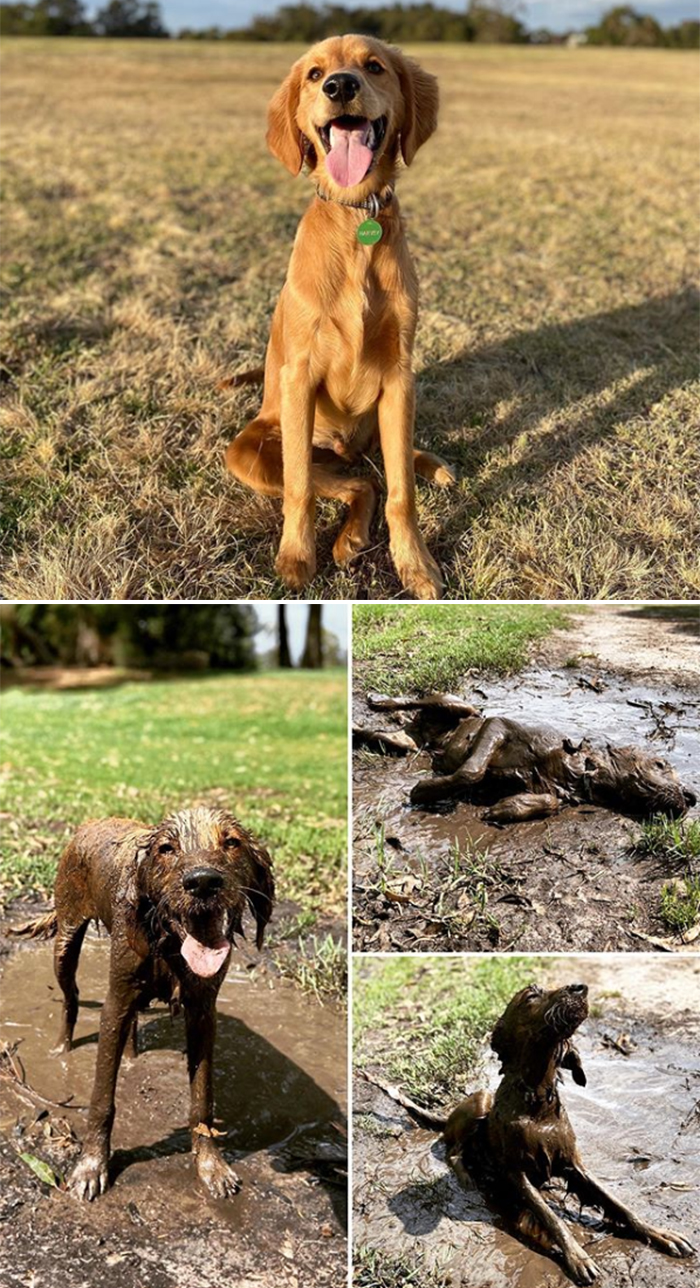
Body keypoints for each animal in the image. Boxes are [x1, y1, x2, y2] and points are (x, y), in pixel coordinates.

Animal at [11, 808, 273, 1200]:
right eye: (166, 848)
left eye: (231, 842)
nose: (203, 882)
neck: (167, 941)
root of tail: (91, 822)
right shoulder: (114, 1003)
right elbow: (101, 1099)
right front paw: (91, 1167)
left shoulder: (202, 1012)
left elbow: (202, 1101)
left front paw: (210, 1166)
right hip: (66, 940)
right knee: (71, 997)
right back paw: (61, 1047)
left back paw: (132, 1055)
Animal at [223, 35, 453, 597]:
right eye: (313, 74)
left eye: (374, 66)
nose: (340, 86)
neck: (356, 220)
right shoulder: (300, 376)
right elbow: (300, 489)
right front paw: (296, 556)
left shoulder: (399, 377)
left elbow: (402, 491)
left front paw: (415, 564)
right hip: (254, 450)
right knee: (354, 482)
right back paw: (347, 539)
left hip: (382, 420)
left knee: (379, 471)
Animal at [360, 690, 696, 819]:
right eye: (661, 764)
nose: (691, 797)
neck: (580, 770)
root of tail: (420, 731)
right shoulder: (498, 725)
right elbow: (472, 771)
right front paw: (422, 790)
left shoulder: (557, 793)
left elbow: (549, 801)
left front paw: (503, 808)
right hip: (456, 705)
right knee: (411, 701)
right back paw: (379, 700)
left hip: (406, 741)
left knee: (378, 734)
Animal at [366, 978, 696, 1282]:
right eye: (531, 995)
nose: (580, 987)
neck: (537, 1101)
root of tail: (446, 1118)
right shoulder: (516, 1173)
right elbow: (551, 1218)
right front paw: (577, 1257)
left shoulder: (574, 1165)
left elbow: (618, 1204)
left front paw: (660, 1233)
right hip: (481, 1101)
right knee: (454, 1151)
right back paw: (467, 1176)